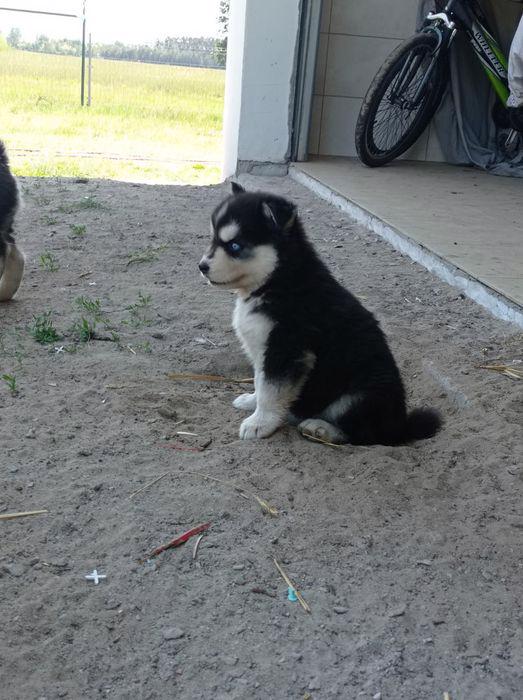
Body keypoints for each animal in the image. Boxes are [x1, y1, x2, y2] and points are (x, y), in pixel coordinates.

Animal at [198, 182, 442, 442]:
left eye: (235, 246)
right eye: (214, 239)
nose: (201, 266)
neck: (277, 280)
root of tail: (400, 426)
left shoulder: (287, 350)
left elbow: (271, 391)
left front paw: (259, 423)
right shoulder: (262, 350)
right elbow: (260, 381)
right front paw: (251, 401)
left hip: (362, 393)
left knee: (364, 435)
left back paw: (322, 428)